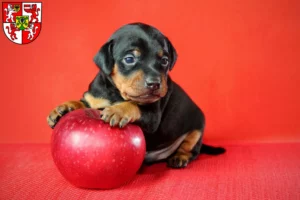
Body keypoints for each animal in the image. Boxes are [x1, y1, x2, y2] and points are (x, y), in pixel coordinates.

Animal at [47, 22, 225, 169]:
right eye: (129, 59)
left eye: (165, 60)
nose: (154, 83)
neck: (116, 93)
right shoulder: (94, 98)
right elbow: (83, 103)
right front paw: (63, 108)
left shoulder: (152, 116)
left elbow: (133, 104)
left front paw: (117, 110)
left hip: (198, 127)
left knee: (192, 149)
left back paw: (180, 157)